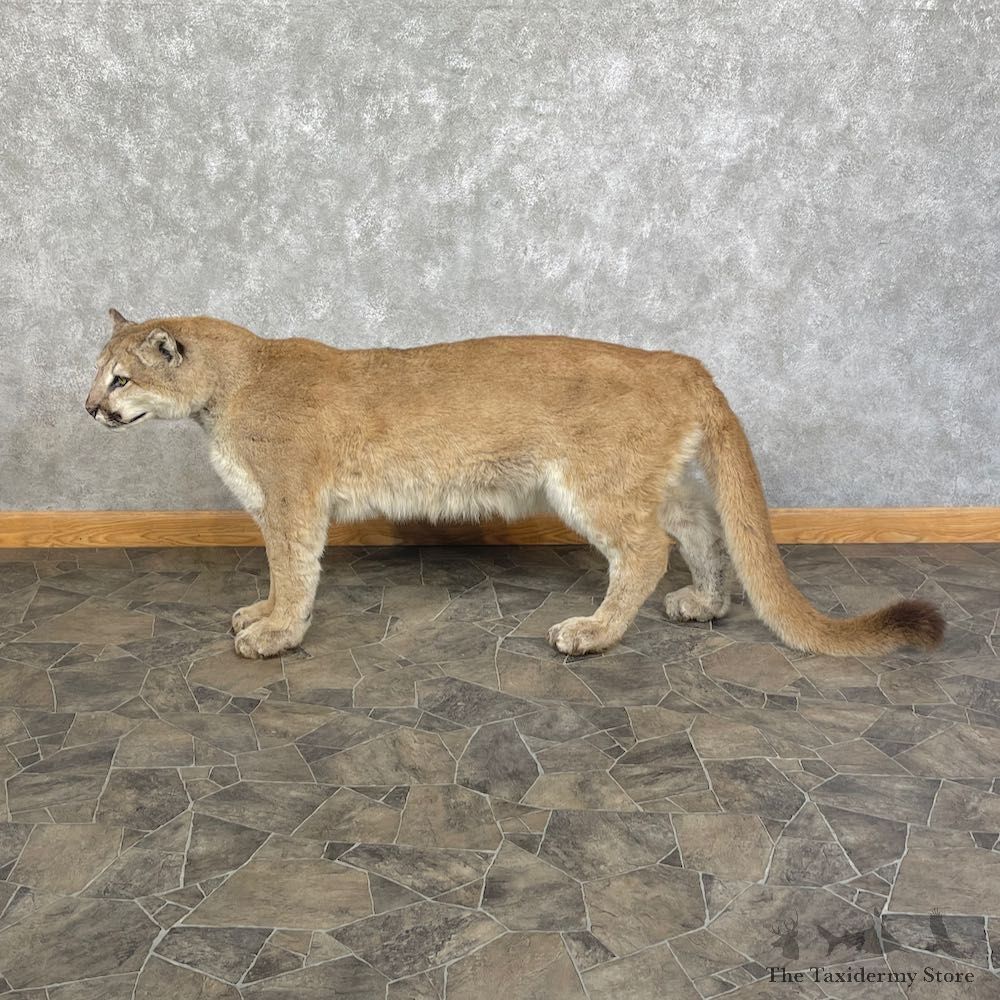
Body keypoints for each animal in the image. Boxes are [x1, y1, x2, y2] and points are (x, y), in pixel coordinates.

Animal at [86, 311, 943, 660]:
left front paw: (276, 633)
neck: (226, 388)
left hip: (592, 483)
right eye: (97, 373)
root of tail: (679, 360)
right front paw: (260, 615)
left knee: (644, 550)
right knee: (699, 523)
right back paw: (705, 603)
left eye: (121, 377)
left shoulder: (293, 499)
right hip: (640, 475)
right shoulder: (277, 506)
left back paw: (593, 632)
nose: (90, 407)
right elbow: (276, 571)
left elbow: (293, 569)